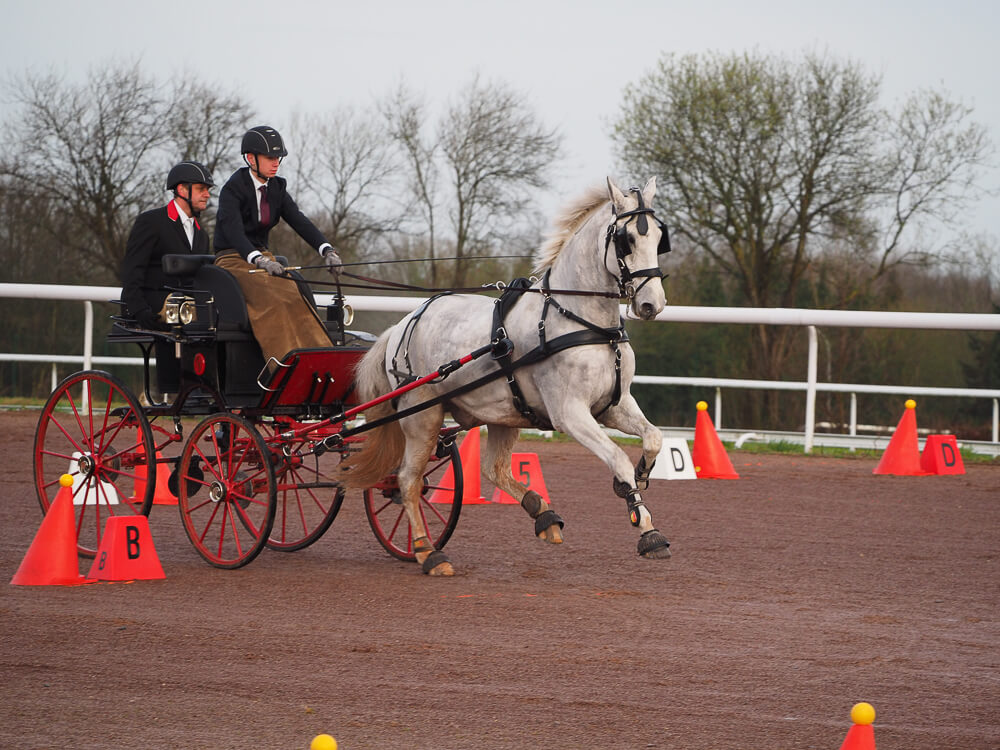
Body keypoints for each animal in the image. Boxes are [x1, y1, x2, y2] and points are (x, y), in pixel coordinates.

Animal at [342, 176, 672, 576]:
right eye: (627, 239)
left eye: (659, 237)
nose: (652, 304)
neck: (582, 321)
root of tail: (403, 324)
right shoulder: (570, 414)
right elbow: (617, 457)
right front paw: (646, 529)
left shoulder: (614, 405)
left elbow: (653, 438)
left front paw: (637, 481)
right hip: (423, 414)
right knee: (408, 480)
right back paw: (428, 552)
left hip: (504, 413)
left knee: (492, 469)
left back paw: (543, 516)